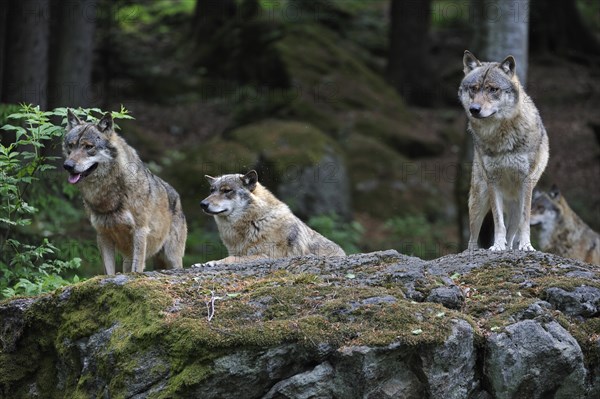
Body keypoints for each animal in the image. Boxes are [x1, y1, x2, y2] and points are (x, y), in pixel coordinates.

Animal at [62, 109, 186, 276]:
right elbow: (109, 271)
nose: (67, 165)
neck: (107, 195)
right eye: (71, 146)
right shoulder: (102, 235)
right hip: (128, 258)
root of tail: (177, 196)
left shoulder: (140, 231)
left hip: (172, 259)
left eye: (88, 147)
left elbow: (137, 268)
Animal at [198, 170, 344, 266]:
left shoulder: (268, 255)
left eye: (226, 190)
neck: (255, 221)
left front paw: (210, 262)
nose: (202, 204)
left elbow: (232, 259)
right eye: (211, 191)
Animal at [460, 50, 548, 250]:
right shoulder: (493, 181)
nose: (474, 109)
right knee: (472, 238)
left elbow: (525, 221)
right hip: (478, 201)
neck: (501, 136)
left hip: (515, 206)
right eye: (474, 89)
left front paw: (526, 246)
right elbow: (498, 220)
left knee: (513, 231)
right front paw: (497, 246)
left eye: (493, 89)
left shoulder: (526, 182)